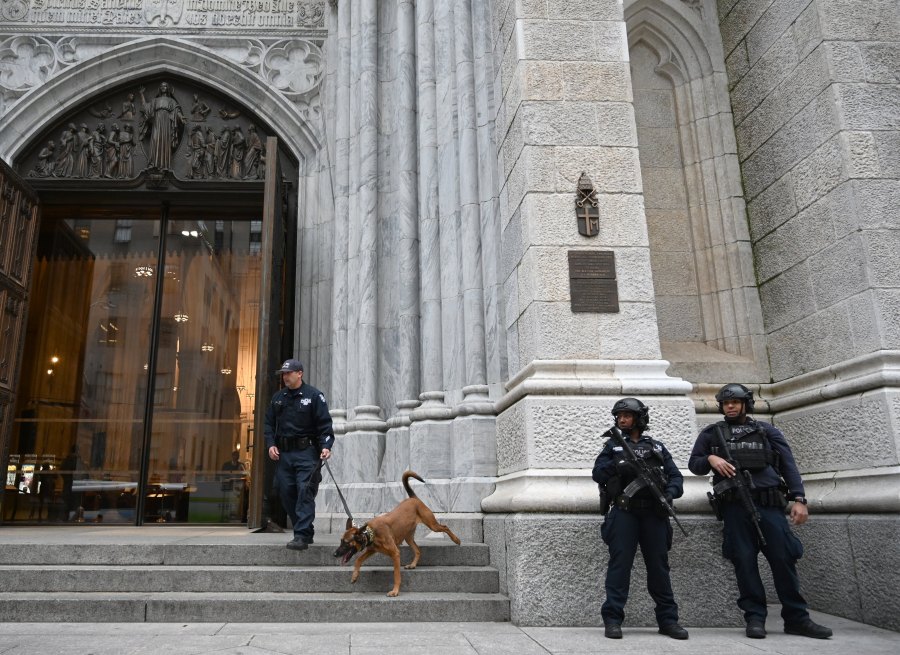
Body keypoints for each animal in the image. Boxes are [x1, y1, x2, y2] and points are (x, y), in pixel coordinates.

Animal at [336, 474, 464, 596]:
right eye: (340, 541)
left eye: (346, 543)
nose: (334, 554)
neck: (371, 532)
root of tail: (413, 498)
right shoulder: (371, 550)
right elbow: (358, 560)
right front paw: (354, 576)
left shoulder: (395, 554)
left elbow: (396, 575)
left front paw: (395, 591)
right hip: (408, 537)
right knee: (418, 550)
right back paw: (412, 565)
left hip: (432, 524)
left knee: (445, 527)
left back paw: (456, 540)